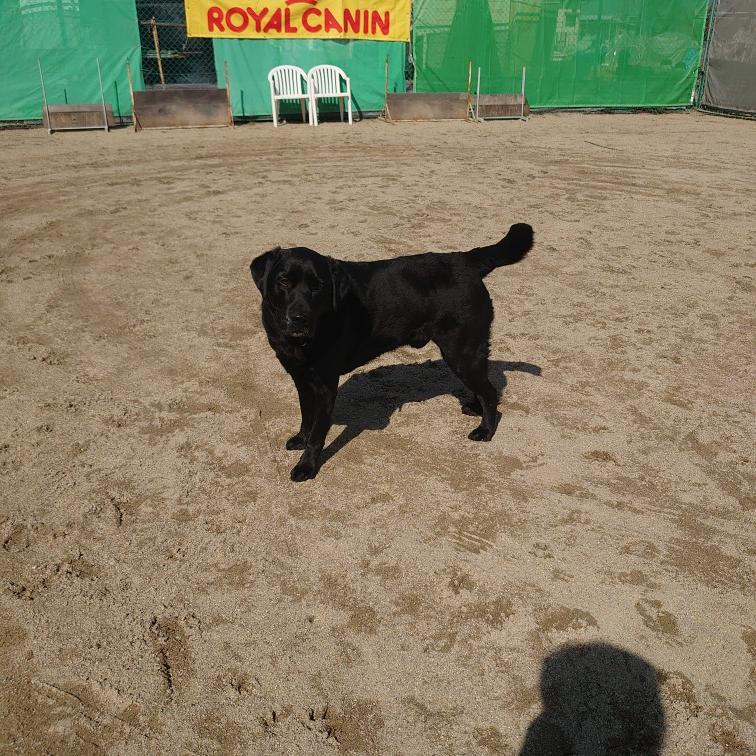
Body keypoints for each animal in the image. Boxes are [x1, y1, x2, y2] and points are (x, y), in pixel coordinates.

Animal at [250, 223, 534, 481]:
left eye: (318, 286)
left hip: (460, 351)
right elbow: (306, 416)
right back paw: (475, 407)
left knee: (490, 392)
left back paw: (485, 430)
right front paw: (300, 438)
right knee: (483, 385)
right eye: (283, 280)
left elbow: (318, 433)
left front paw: (306, 466)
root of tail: (466, 260)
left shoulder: (325, 386)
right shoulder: (301, 378)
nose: (299, 318)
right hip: (467, 352)